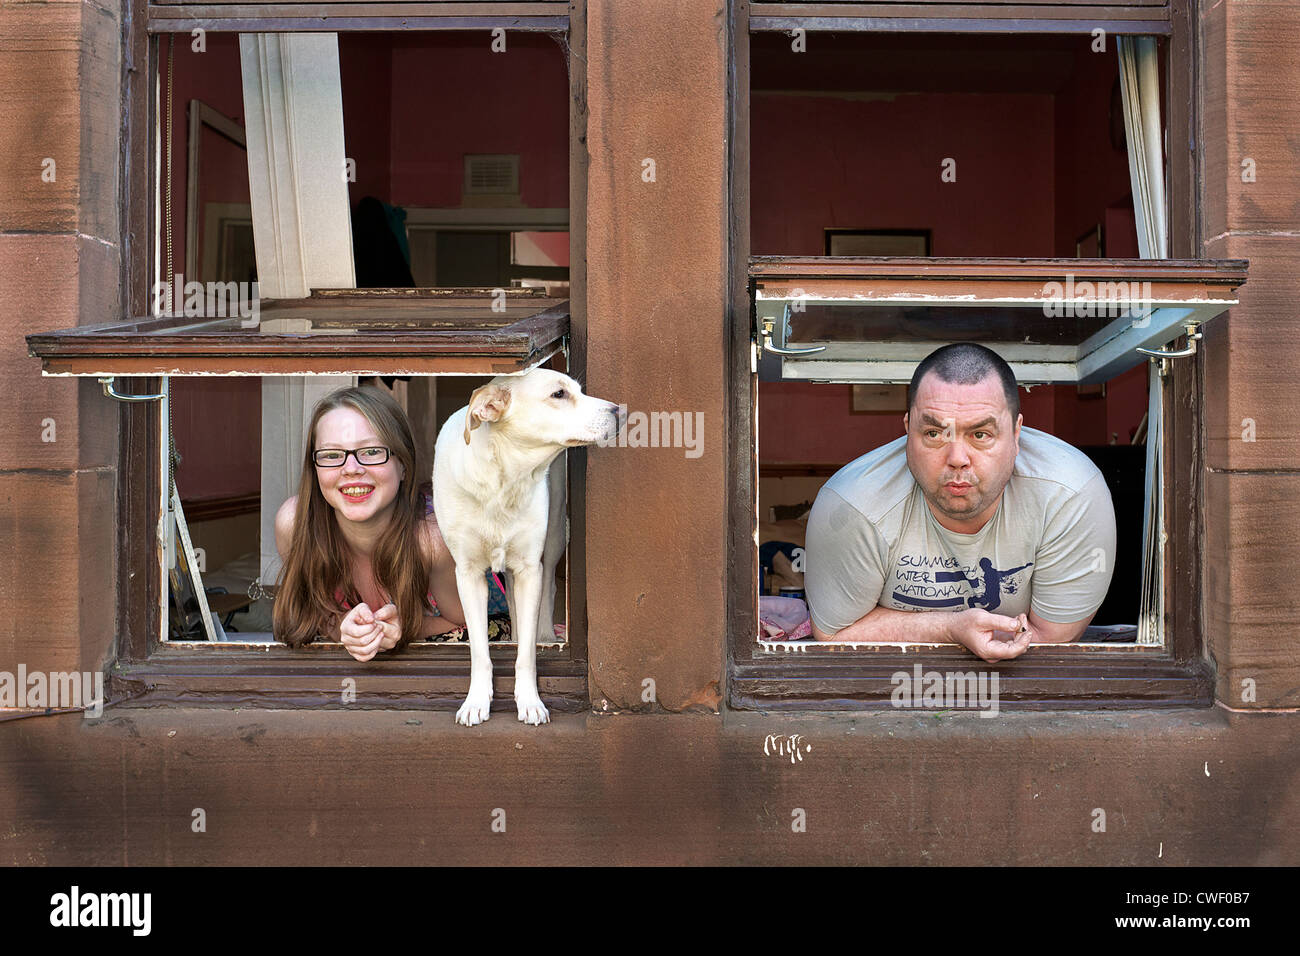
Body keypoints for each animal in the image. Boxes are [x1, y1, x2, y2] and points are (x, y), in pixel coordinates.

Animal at [434, 366, 621, 723]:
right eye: (559, 394)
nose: (619, 411)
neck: (504, 480)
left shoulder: (529, 568)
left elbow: (527, 654)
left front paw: (530, 701)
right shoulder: (468, 574)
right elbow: (479, 650)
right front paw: (476, 701)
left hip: (553, 535)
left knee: (547, 588)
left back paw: (546, 632)